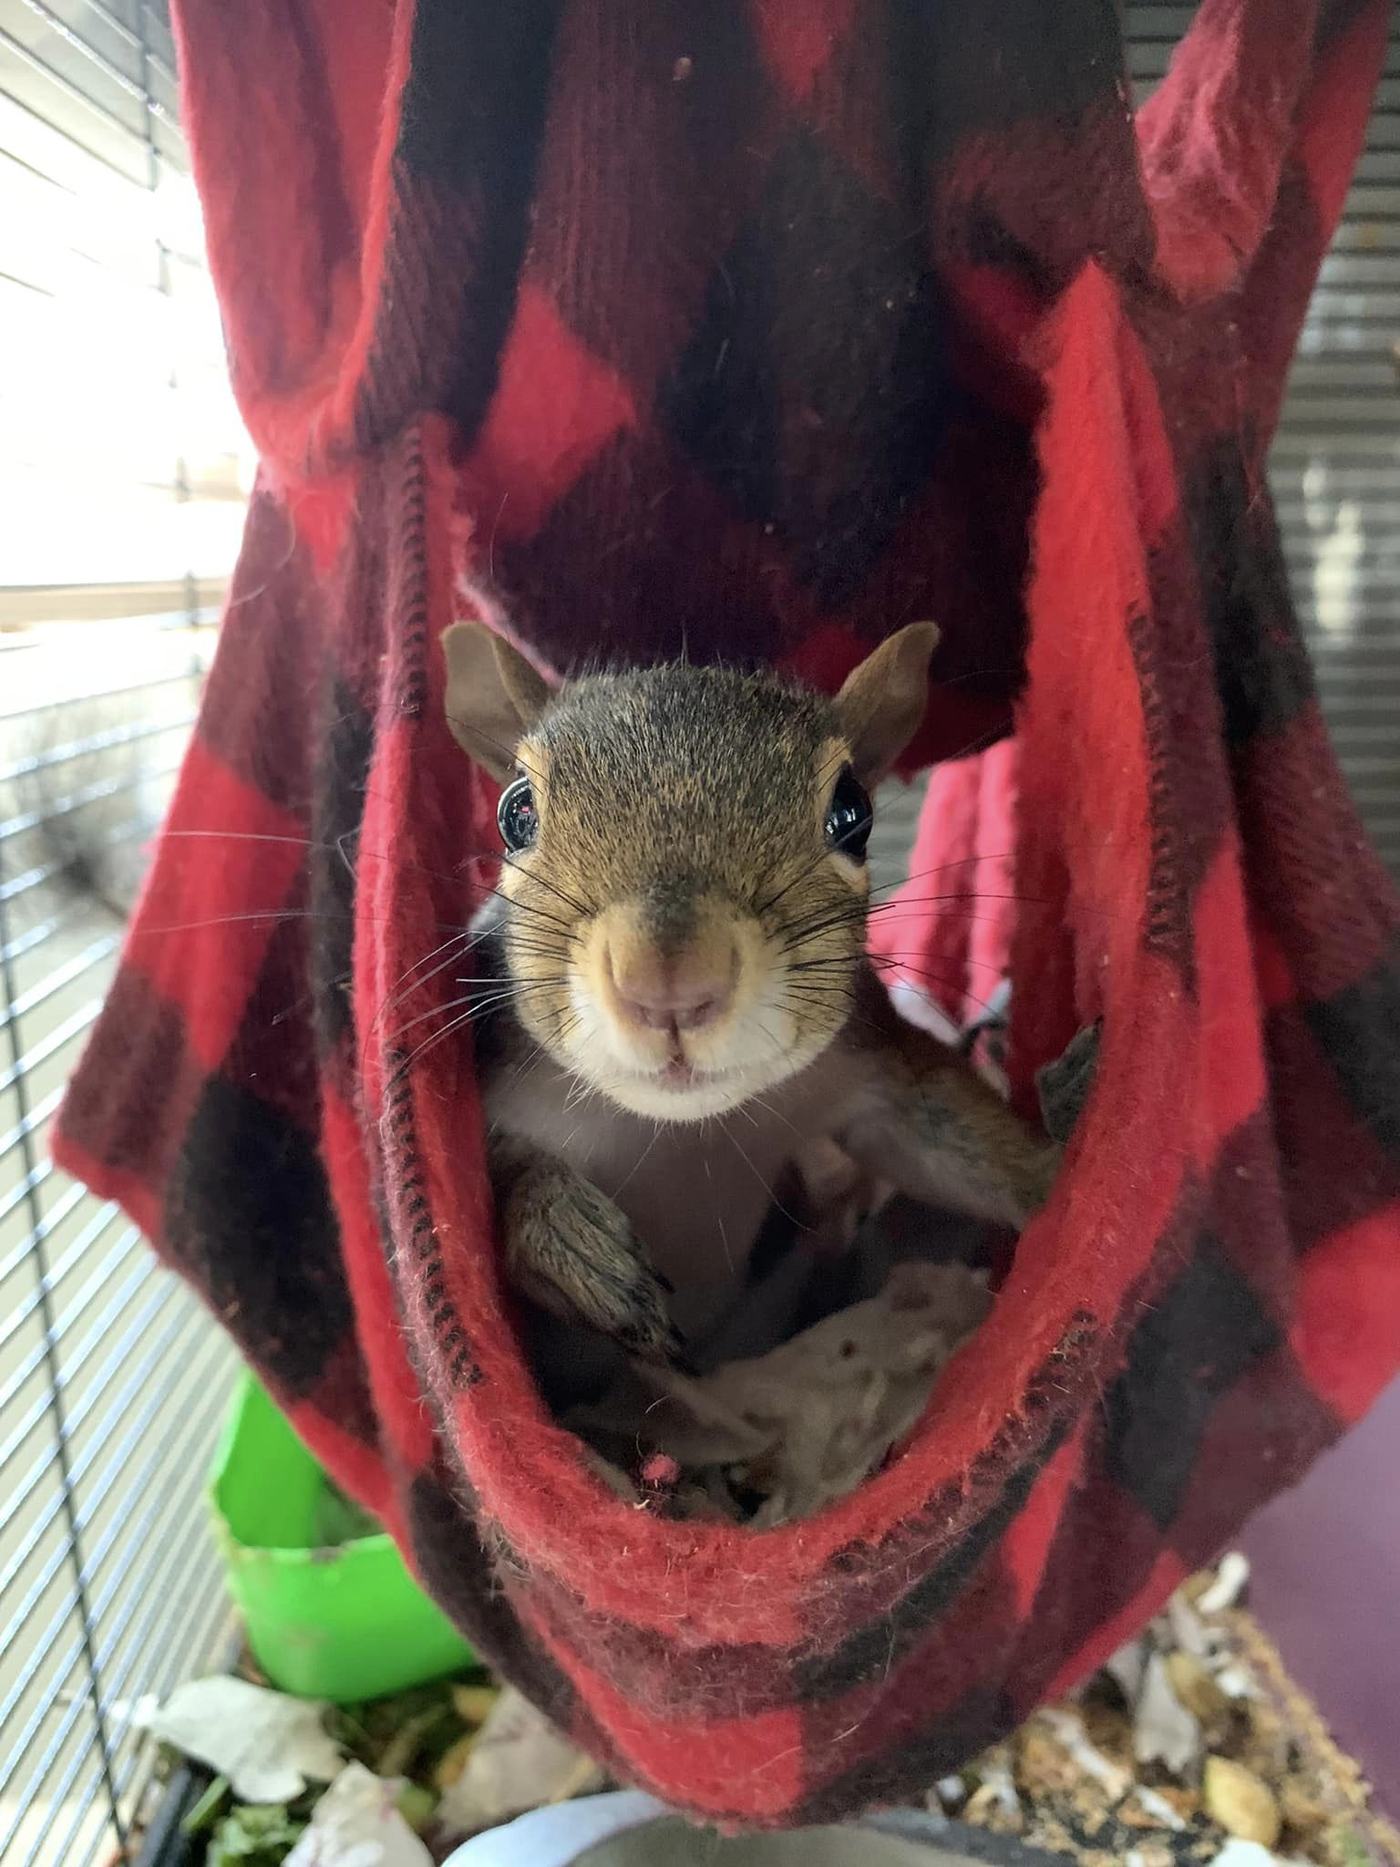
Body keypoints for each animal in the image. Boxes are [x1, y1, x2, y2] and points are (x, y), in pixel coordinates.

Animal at [442, 619, 1058, 1364]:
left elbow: (961, 1136)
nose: (669, 984)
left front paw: (1067, 1185)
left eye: (851, 812)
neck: (675, 1130)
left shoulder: (867, 1067)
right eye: (516, 814)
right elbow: (493, 1184)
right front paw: (562, 1229)